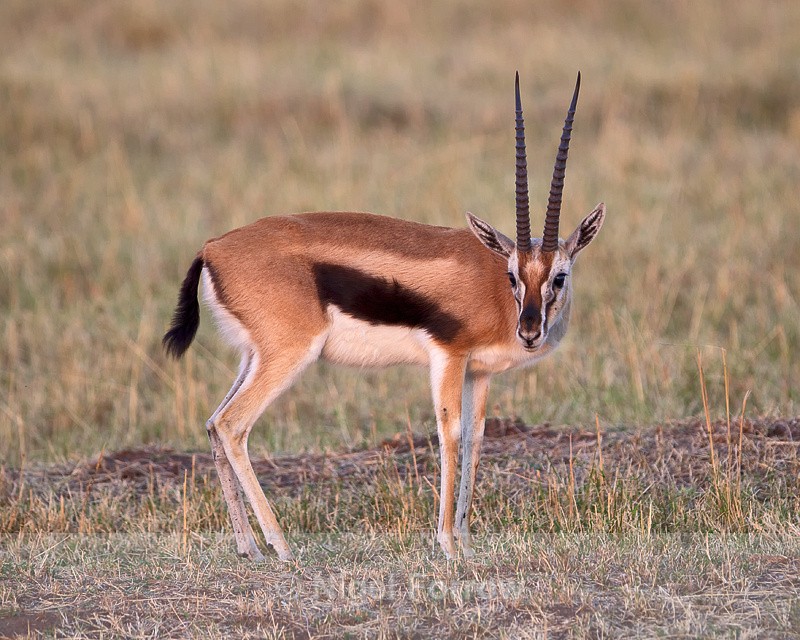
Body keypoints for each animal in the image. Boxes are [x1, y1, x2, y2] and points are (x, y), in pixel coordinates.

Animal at [163, 72, 605, 561]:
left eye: (559, 276)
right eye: (512, 275)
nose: (529, 331)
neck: (493, 289)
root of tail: (213, 248)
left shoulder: (479, 372)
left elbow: (475, 439)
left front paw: (467, 541)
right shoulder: (449, 357)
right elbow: (450, 434)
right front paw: (447, 544)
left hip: (252, 357)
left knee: (212, 423)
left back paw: (249, 548)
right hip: (288, 355)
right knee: (232, 424)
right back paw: (281, 546)